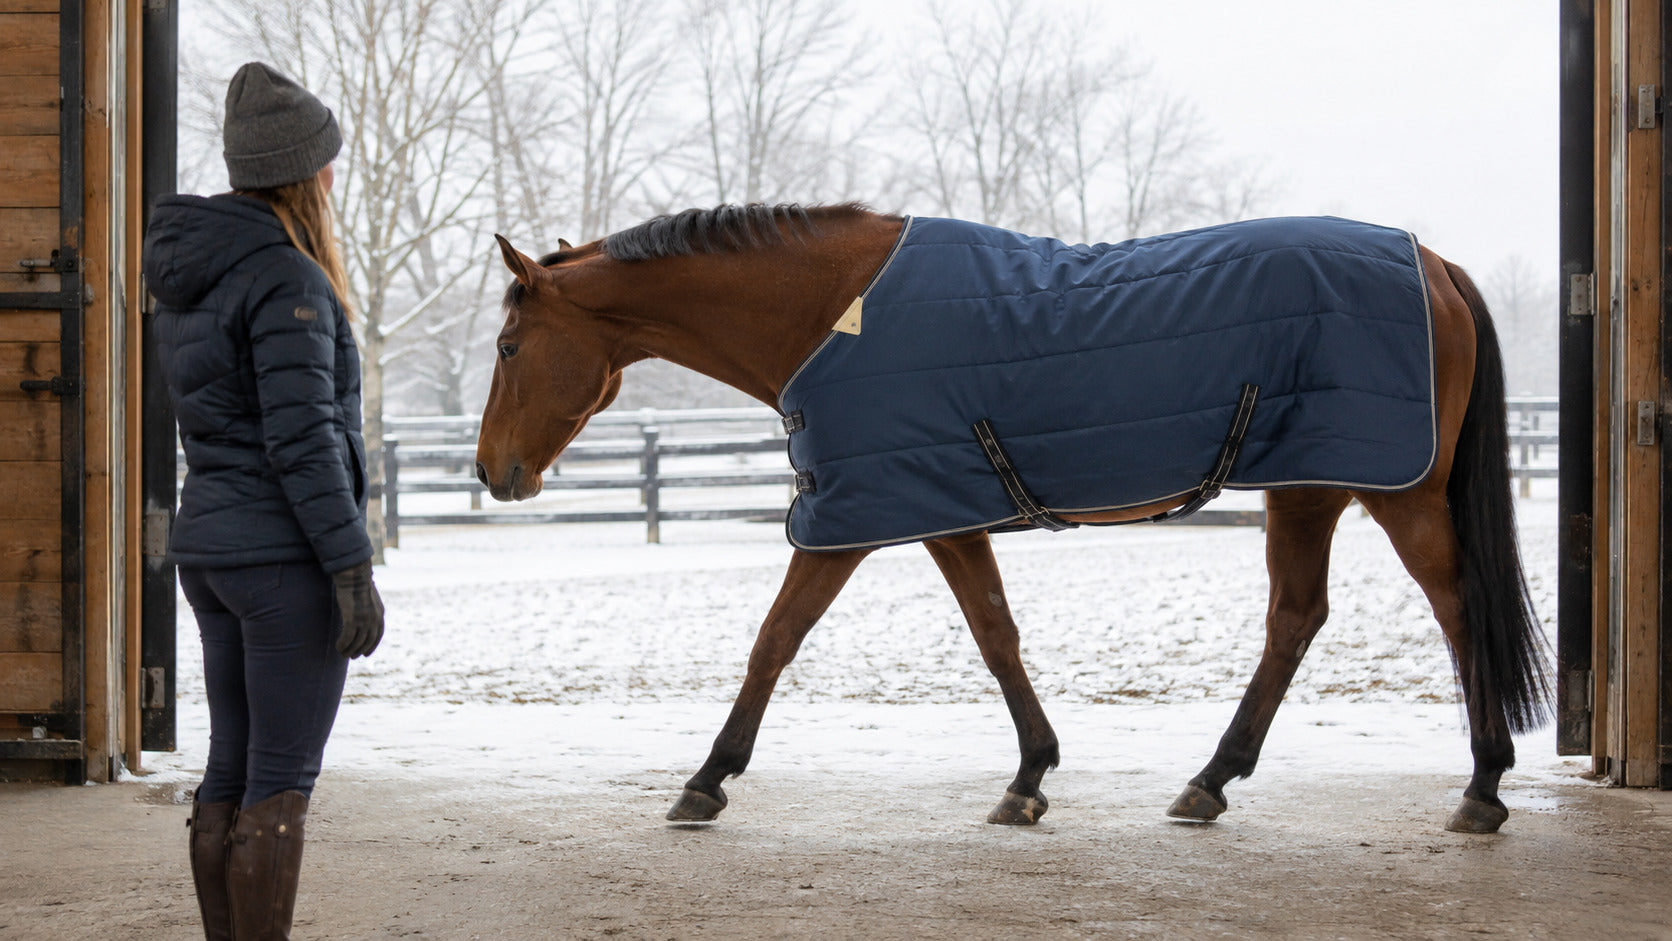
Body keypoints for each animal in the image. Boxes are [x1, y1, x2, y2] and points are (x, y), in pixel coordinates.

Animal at [474, 203, 1548, 834]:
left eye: (510, 345)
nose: (493, 472)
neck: (835, 309)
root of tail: (1434, 261)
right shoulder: (941, 510)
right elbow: (995, 632)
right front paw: (1031, 773)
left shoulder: (854, 517)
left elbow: (775, 638)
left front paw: (708, 776)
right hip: (1311, 484)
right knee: (1296, 619)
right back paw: (1211, 779)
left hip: (1391, 489)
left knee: (1458, 611)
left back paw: (1483, 785)